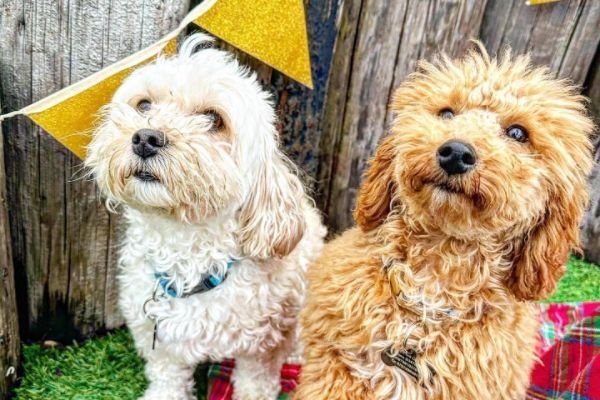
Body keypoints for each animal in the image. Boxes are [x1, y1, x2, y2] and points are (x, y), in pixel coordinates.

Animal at [85, 34, 324, 400]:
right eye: (144, 105)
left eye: (214, 119)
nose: (146, 137)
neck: (187, 254)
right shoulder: (161, 342)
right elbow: (167, 379)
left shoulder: (262, 347)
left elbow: (256, 384)